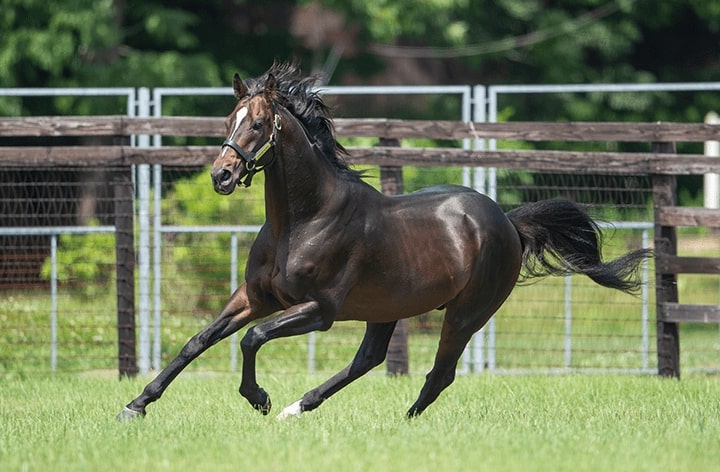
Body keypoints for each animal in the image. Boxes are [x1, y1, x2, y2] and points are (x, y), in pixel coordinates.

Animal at [116, 62, 648, 420]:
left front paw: (259, 399)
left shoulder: (321, 311)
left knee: (439, 373)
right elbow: (199, 341)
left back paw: (400, 420)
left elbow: (252, 338)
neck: (303, 222)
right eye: (229, 119)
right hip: (388, 309)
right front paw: (136, 405)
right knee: (368, 360)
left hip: (465, 314)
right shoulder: (255, 296)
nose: (221, 175)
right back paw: (299, 408)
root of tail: (506, 222)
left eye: (260, 123)